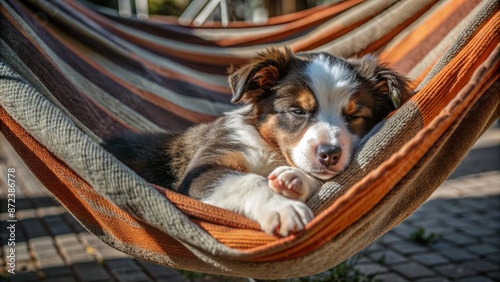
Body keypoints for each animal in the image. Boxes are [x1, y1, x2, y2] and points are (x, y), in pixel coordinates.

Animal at [104, 47, 410, 237]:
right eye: (298, 111)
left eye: (355, 116)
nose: (330, 153)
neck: (269, 150)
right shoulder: (200, 171)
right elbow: (249, 180)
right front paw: (282, 207)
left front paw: (293, 180)